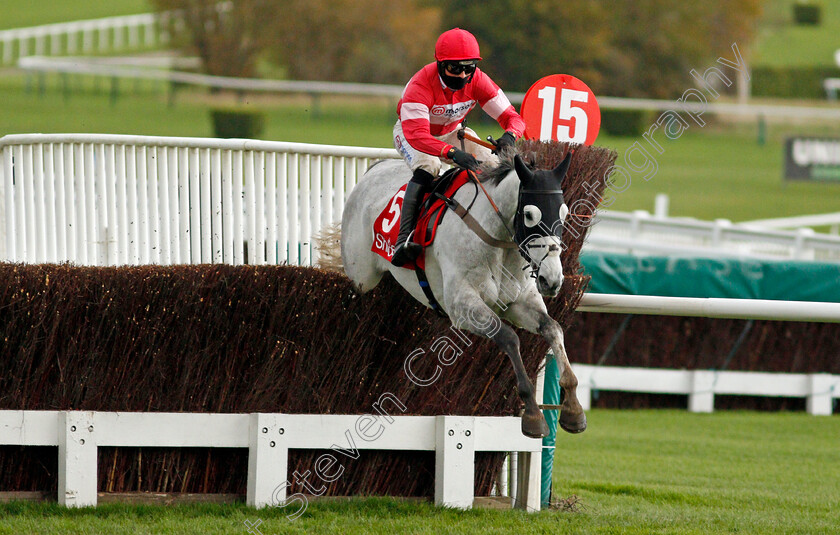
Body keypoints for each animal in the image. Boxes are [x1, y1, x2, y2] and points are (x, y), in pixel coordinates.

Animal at [334, 149, 584, 438]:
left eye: (564, 213)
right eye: (530, 215)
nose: (552, 279)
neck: (496, 241)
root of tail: (375, 169)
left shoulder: (518, 302)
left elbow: (553, 328)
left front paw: (574, 408)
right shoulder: (462, 307)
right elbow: (509, 337)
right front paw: (532, 413)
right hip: (361, 275)